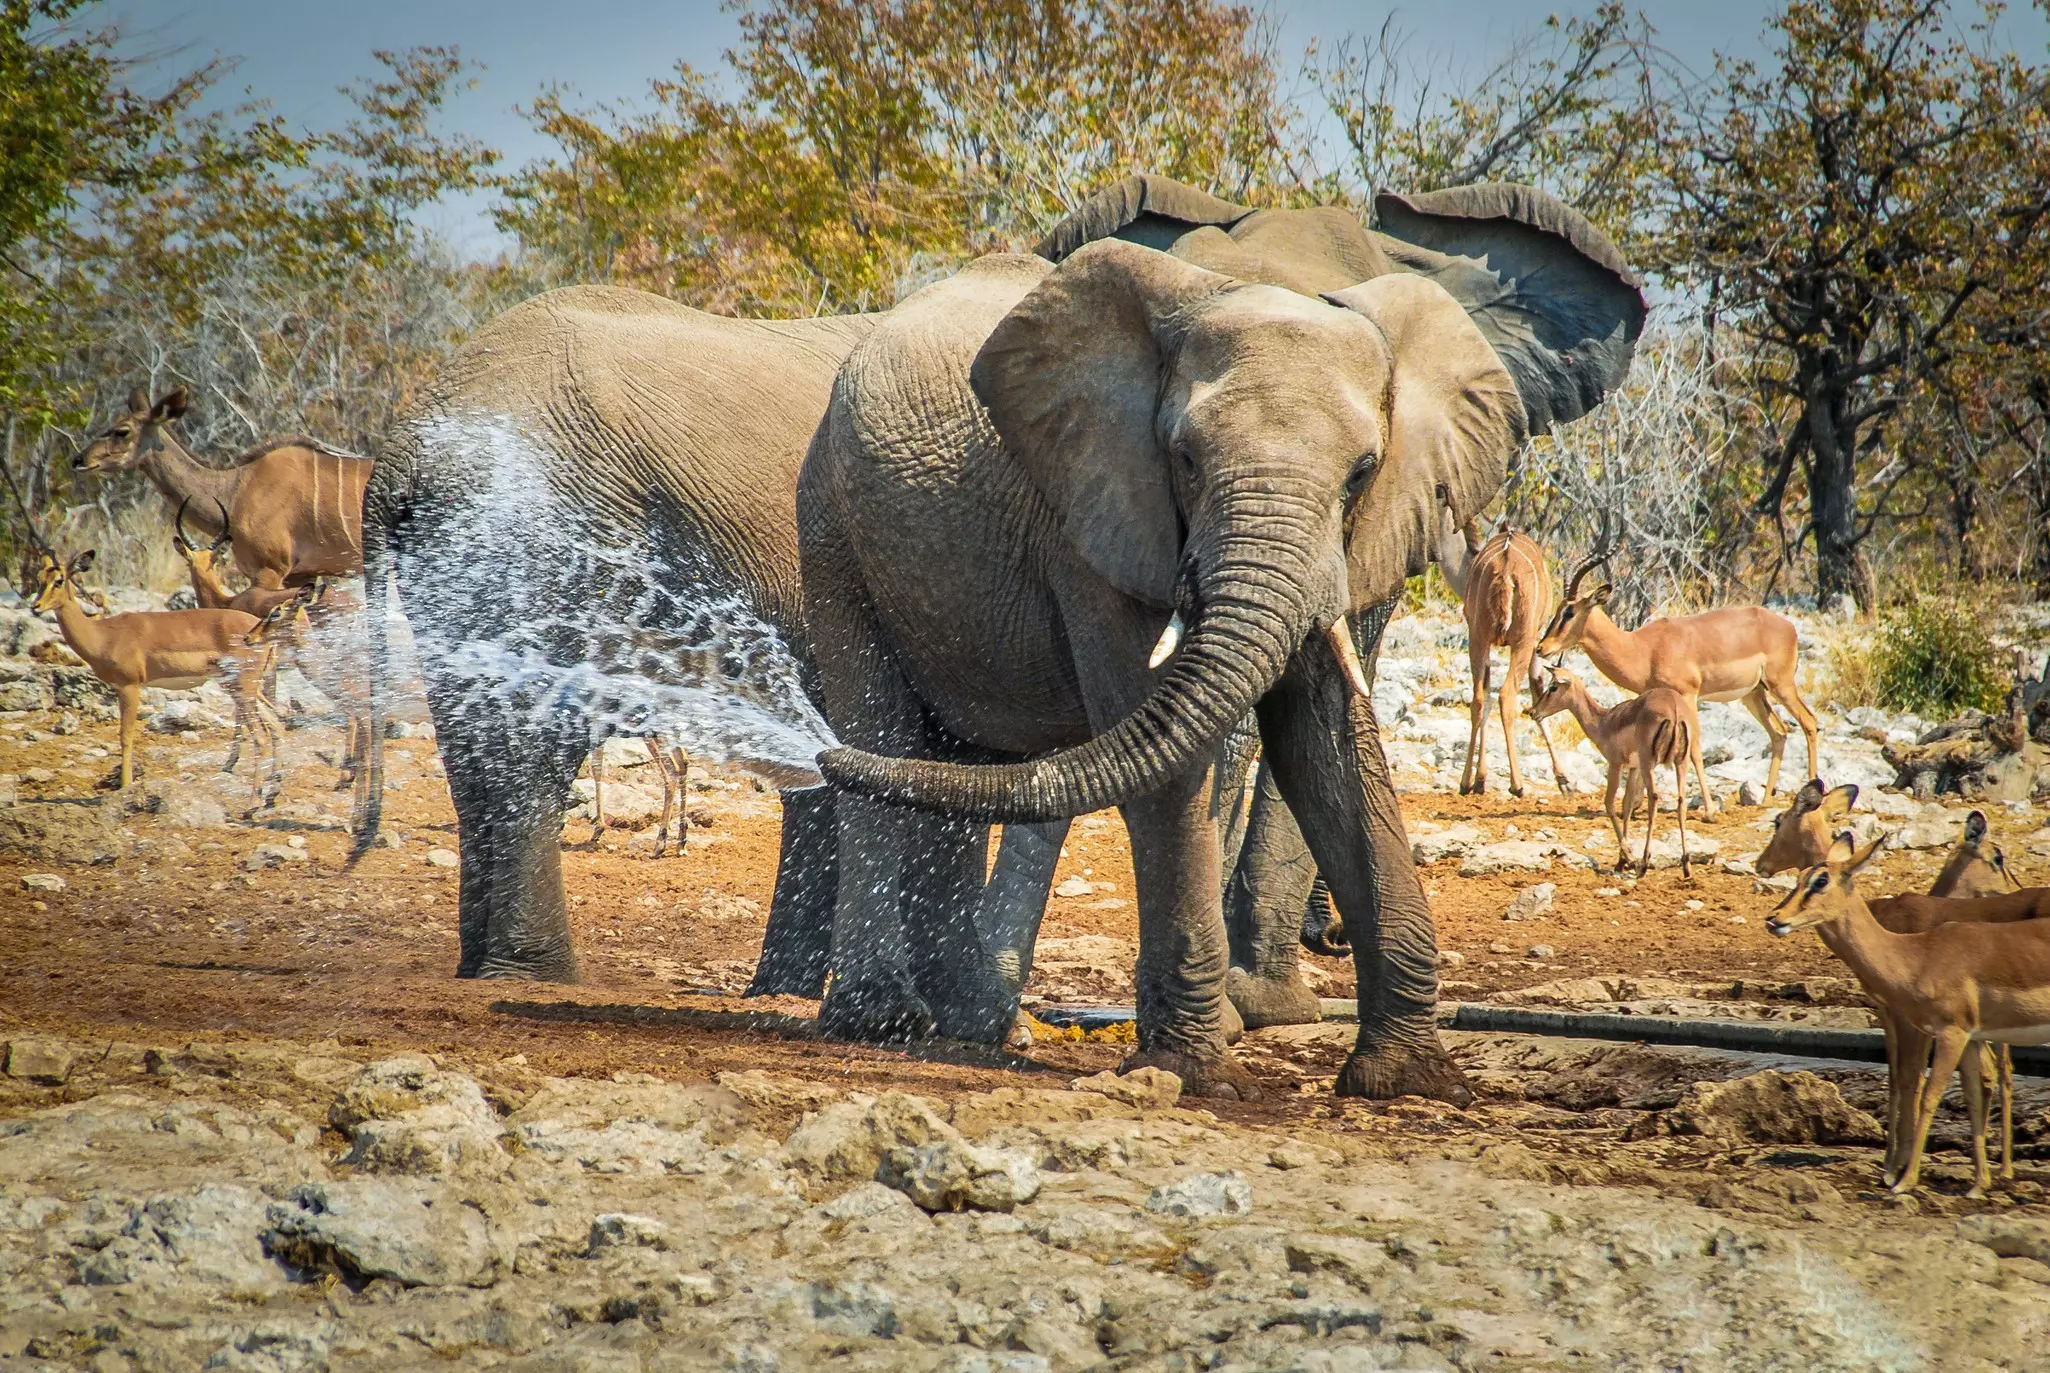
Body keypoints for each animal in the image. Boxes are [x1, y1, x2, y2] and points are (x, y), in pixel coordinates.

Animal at [28, 550, 282, 799]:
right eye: (39, 578)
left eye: (59, 580)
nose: (35, 607)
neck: (103, 636)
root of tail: (261, 632)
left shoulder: (130, 687)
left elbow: (125, 736)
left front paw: (125, 786)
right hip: (242, 688)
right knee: (276, 724)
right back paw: (272, 792)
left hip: (244, 688)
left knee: (262, 736)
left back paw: (254, 803)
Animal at [1434, 493, 1568, 798]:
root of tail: (1505, 571)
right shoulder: (1534, 641)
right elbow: (1538, 692)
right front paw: (1563, 779)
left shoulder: (1486, 641)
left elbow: (1486, 693)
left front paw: (1480, 780)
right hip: (1521, 641)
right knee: (1506, 696)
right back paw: (1517, 784)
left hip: (1479, 638)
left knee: (1479, 699)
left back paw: (1465, 782)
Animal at [1526, 665, 1696, 877]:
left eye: (1553, 686)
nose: (1533, 712)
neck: (1604, 721)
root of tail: (1674, 707)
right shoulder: (1634, 768)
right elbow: (1627, 805)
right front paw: (1622, 861)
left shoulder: (1615, 765)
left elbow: (1609, 804)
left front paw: (1629, 858)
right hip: (1680, 762)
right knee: (1681, 800)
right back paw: (1686, 865)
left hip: (1649, 764)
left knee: (1654, 798)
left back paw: (1644, 864)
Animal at [1535, 513, 1820, 815]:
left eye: (1569, 611)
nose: (1541, 647)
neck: (1643, 648)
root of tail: (1788, 626)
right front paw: (1636, 805)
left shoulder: (1688, 695)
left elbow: (1694, 749)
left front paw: (1708, 809)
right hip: (1754, 694)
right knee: (1780, 733)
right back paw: (1765, 800)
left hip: (1781, 685)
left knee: (1809, 722)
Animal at [1756, 781, 2037, 1182]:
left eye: (1779, 820)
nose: (1760, 865)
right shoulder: (1890, 1014)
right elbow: (1897, 1076)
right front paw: (1893, 1162)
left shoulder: (1910, 1019)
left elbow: (1910, 1078)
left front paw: (1898, 1168)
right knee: (2001, 1072)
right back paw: (2001, 1168)